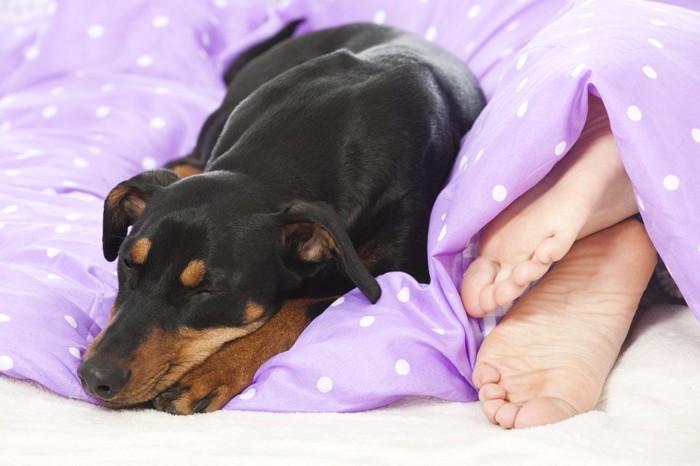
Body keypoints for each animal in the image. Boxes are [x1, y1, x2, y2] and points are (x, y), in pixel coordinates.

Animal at [76, 21, 482, 416]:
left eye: (207, 291)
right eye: (128, 263)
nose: (95, 377)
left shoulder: (400, 273)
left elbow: (299, 307)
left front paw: (212, 372)